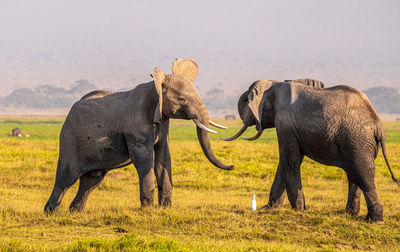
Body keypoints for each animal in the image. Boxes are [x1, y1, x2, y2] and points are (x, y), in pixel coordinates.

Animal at [44, 57, 233, 213]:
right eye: (181, 99)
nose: (231, 166)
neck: (154, 87)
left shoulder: (163, 121)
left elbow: (163, 157)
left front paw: (165, 209)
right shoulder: (136, 126)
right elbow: (144, 160)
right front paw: (148, 210)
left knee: (91, 180)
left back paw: (76, 212)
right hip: (70, 138)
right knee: (66, 178)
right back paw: (51, 213)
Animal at [223, 79, 398, 222]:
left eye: (246, 101)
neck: (273, 83)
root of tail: (379, 126)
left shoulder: (285, 123)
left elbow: (290, 160)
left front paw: (298, 210)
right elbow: (288, 161)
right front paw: (269, 208)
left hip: (358, 140)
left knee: (363, 174)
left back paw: (374, 220)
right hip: (357, 143)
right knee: (354, 174)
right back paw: (350, 214)